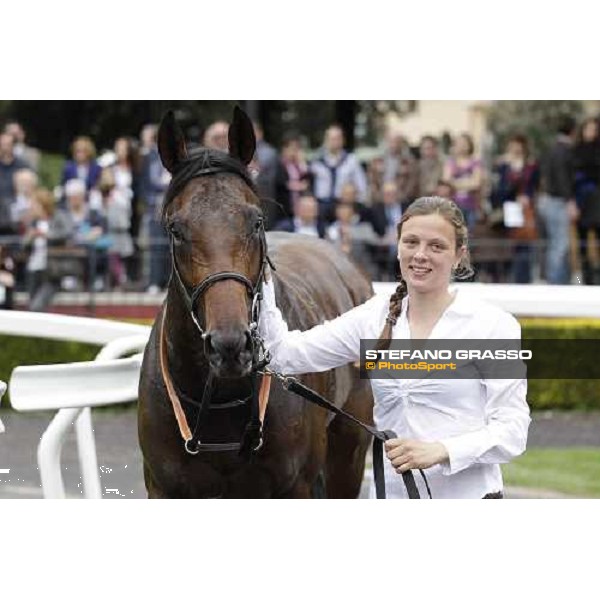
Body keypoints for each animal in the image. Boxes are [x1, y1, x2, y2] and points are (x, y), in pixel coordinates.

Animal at [138, 106, 376, 496]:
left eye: (256, 221)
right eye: (176, 229)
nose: (230, 345)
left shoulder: (295, 486)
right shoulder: (163, 486)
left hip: (349, 447)